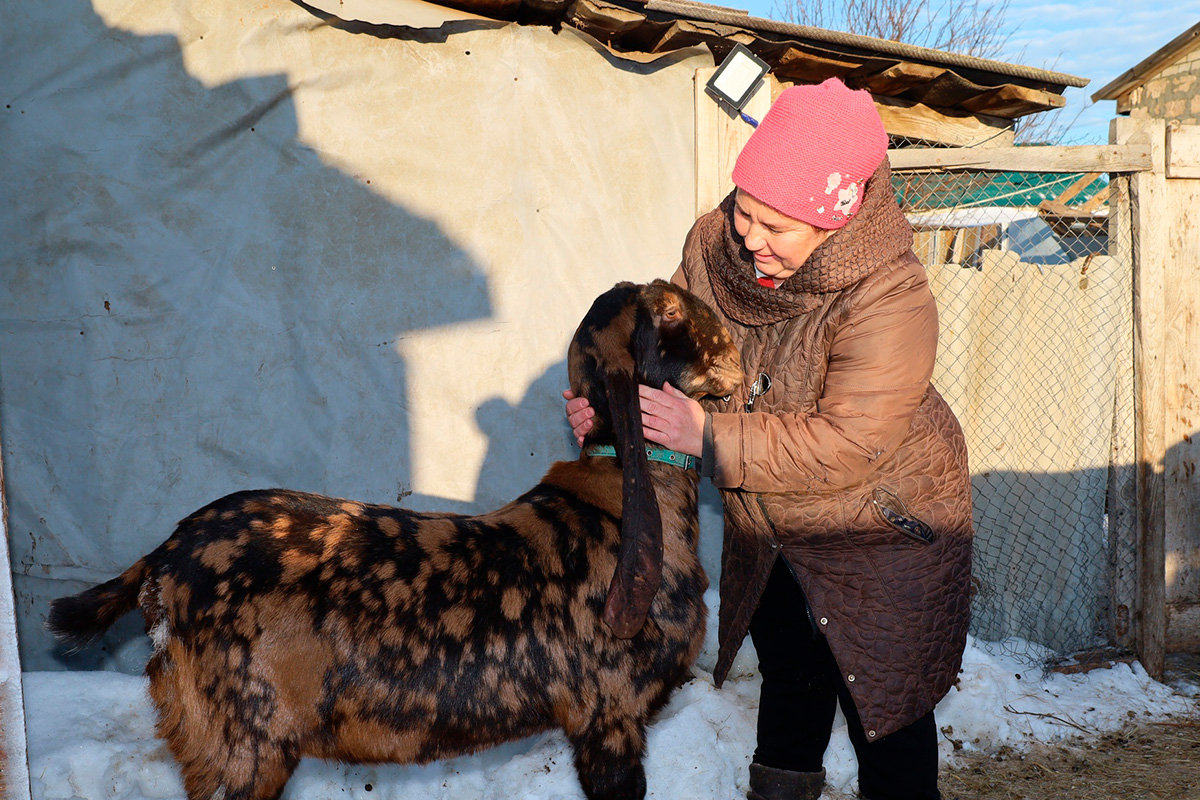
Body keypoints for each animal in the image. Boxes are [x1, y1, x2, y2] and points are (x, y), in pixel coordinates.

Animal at [46, 280, 739, 800]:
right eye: (669, 309)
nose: (736, 346)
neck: (618, 503)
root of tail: (162, 562)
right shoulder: (609, 718)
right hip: (240, 742)